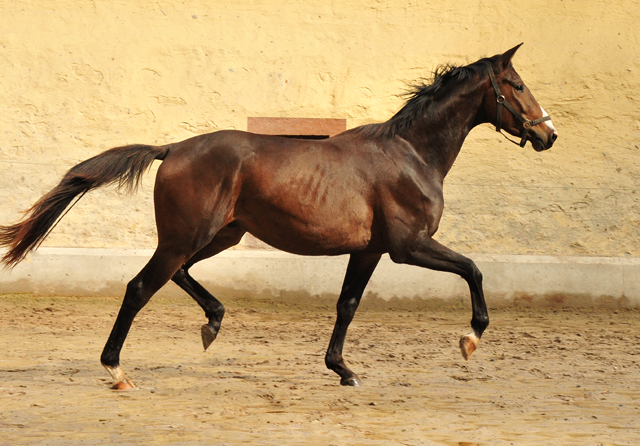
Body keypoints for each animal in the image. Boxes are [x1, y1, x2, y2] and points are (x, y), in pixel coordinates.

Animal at [0, 43, 556, 388]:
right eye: (517, 85)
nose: (548, 134)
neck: (410, 154)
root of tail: (173, 148)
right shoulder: (408, 247)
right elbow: (474, 269)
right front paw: (470, 339)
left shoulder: (371, 250)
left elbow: (347, 305)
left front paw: (343, 370)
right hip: (187, 237)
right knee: (140, 287)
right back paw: (117, 371)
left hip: (218, 235)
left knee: (178, 275)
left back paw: (213, 323)